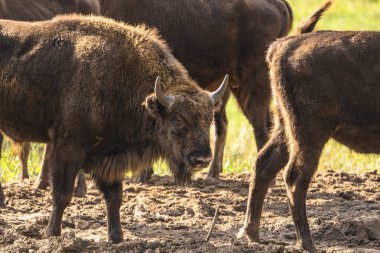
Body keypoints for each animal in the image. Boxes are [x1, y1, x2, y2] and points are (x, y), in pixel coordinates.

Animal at [240, 30, 380, 252]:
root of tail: (281, 47)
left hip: (285, 128)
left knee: (263, 165)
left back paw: (254, 235)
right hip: (310, 134)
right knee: (295, 177)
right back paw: (307, 244)